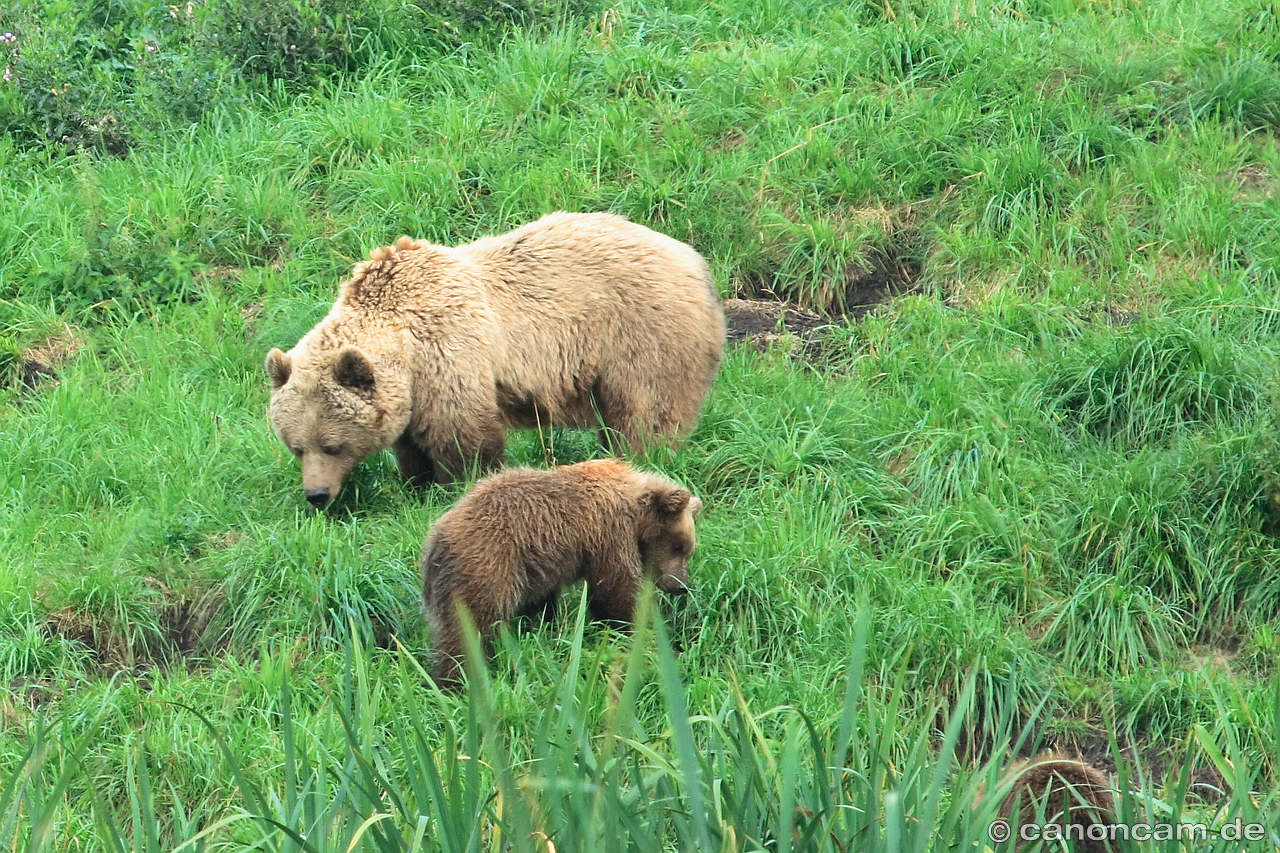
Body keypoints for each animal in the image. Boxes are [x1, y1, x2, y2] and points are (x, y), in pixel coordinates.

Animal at [419, 458, 701, 686]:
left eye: (688, 550)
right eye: (678, 546)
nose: (681, 585)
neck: (634, 511)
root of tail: (436, 539)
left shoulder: (539, 567)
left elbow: (543, 602)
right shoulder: (608, 533)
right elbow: (615, 589)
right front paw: (636, 630)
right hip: (487, 566)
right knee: (468, 627)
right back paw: (456, 680)